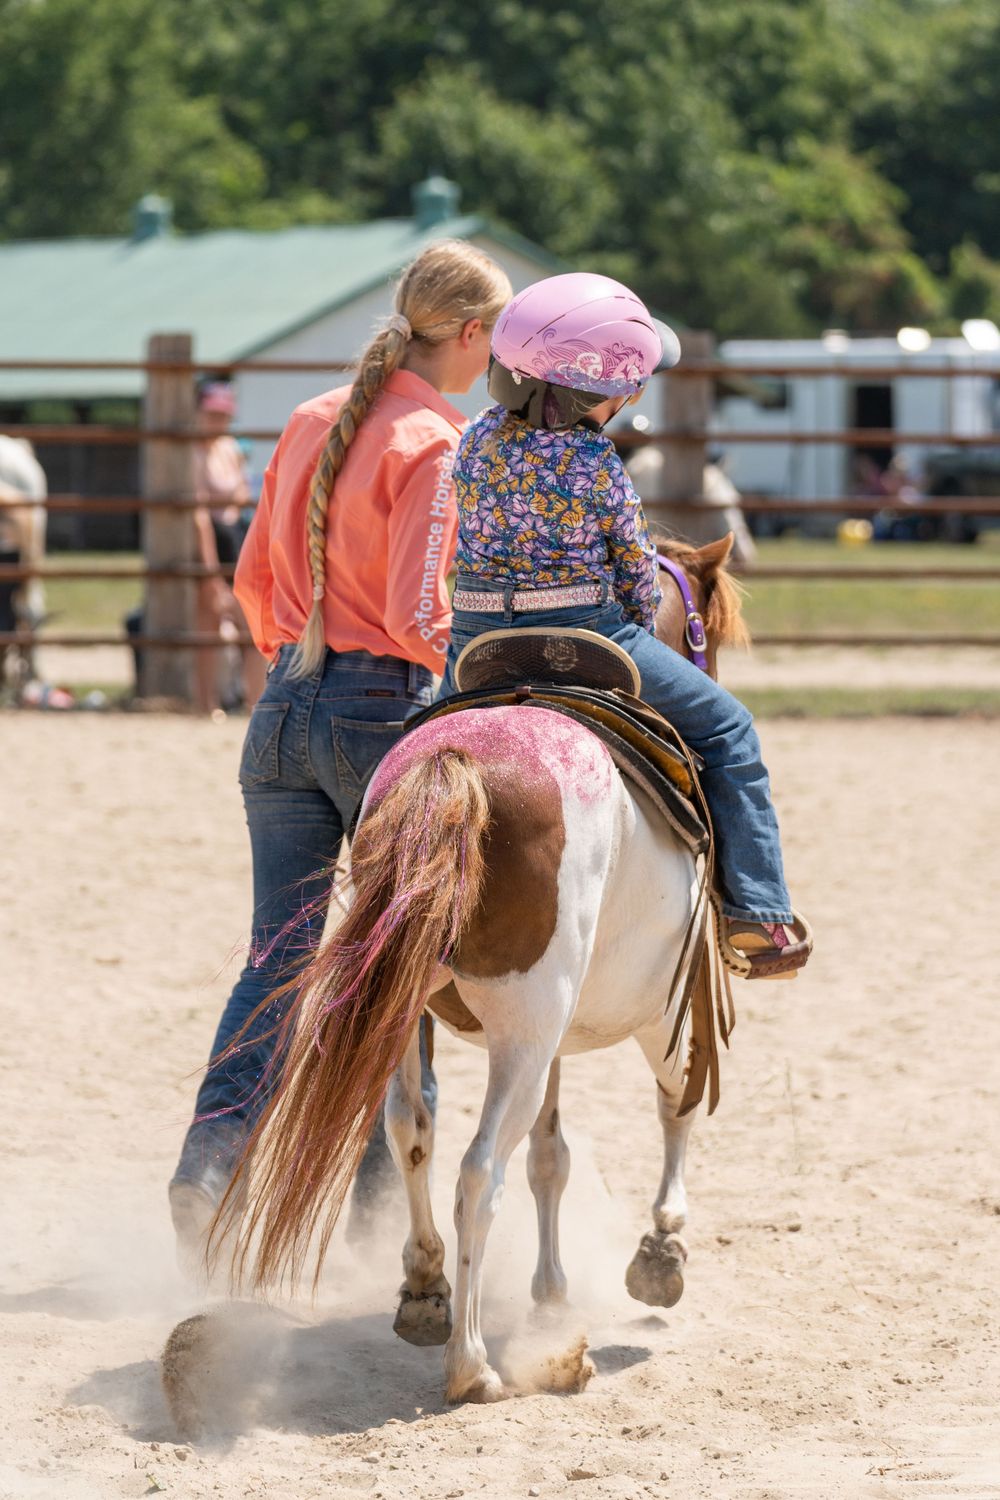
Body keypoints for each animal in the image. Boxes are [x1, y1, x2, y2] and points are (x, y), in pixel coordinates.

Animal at [216, 534, 748, 1405]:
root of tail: (456, 762)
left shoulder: (559, 1033)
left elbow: (550, 1157)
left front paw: (551, 1297)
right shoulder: (663, 1009)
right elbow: (673, 1105)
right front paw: (659, 1254)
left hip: (418, 1019)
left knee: (413, 1133)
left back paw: (426, 1292)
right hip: (527, 1032)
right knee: (476, 1172)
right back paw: (473, 1365)